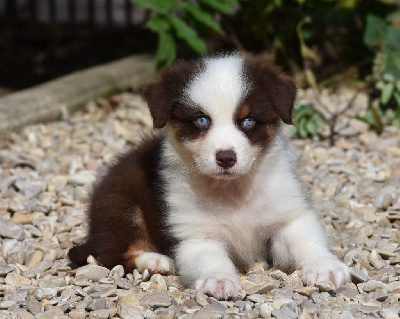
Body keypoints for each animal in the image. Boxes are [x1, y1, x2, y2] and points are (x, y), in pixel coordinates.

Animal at [69, 52, 350, 300]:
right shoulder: (195, 235)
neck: (233, 189)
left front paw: (324, 266)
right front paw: (220, 280)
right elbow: (211, 258)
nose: (226, 157)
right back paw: (155, 260)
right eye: (201, 120)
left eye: (248, 121)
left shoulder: (287, 214)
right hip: (120, 204)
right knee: (113, 253)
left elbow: (305, 240)